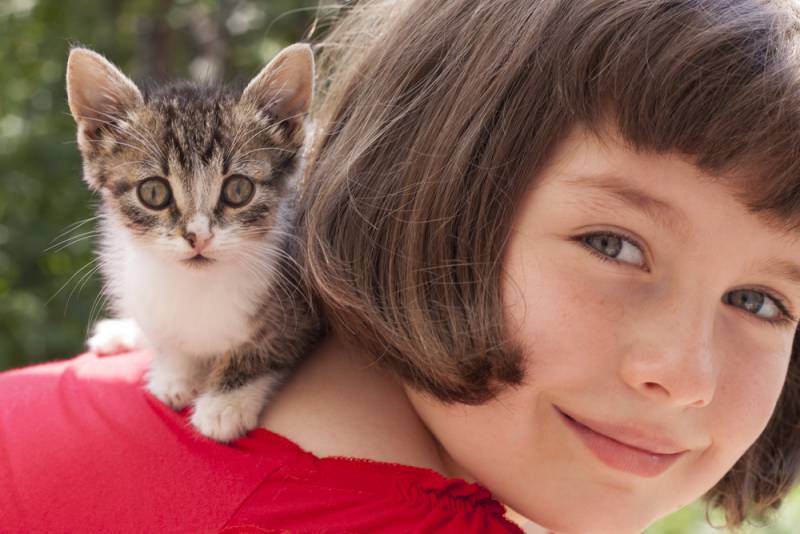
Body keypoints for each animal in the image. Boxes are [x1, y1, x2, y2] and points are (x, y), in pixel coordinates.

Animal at [65, 43, 322, 444]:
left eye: (238, 190)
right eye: (154, 192)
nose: (198, 236)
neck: (196, 286)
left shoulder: (301, 301)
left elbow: (270, 345)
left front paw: (225, 402)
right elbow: (167, 335)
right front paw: (175, 374)